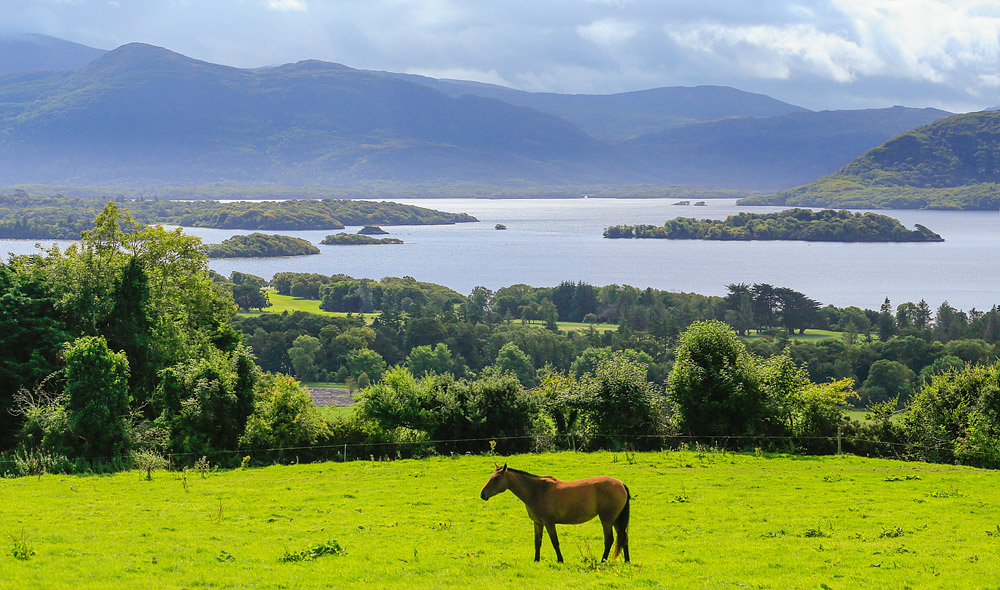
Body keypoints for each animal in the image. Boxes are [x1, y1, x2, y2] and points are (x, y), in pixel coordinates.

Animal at [480, 464, 628, 568]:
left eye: (496, 478)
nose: (482, 494)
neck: (536, 490)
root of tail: (621, 484)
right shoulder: (538, 523)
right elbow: (537, 542)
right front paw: (536, 560)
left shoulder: (549, 523)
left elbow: (555, 542)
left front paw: (560, 560)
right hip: (616, 520)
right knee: (623, 538)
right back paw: (627, 561)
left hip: (607, 519)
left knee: (609, 540)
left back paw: (602, 561)